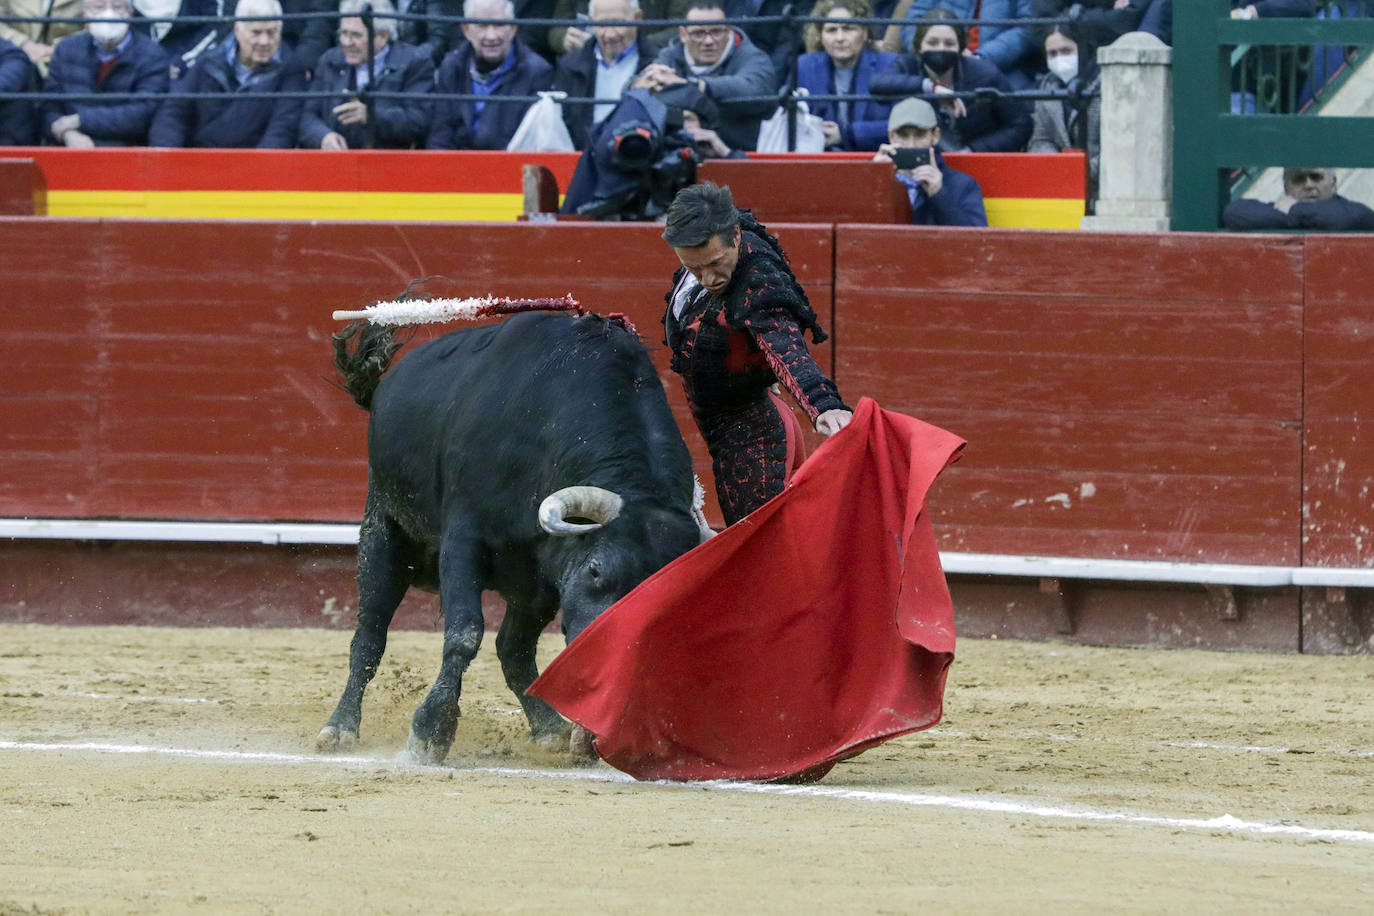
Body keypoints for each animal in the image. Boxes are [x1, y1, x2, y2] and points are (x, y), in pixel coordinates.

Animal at [318, 311, 708, 763]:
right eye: (595, 570)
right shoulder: (463, 542)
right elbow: (465, 633)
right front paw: (430, 733)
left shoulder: (543, 573)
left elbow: (508, 646)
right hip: (383, 531)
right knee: (370, 635)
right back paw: (339, 727)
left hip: (528, 587)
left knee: (513, 648)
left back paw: (549, 728)